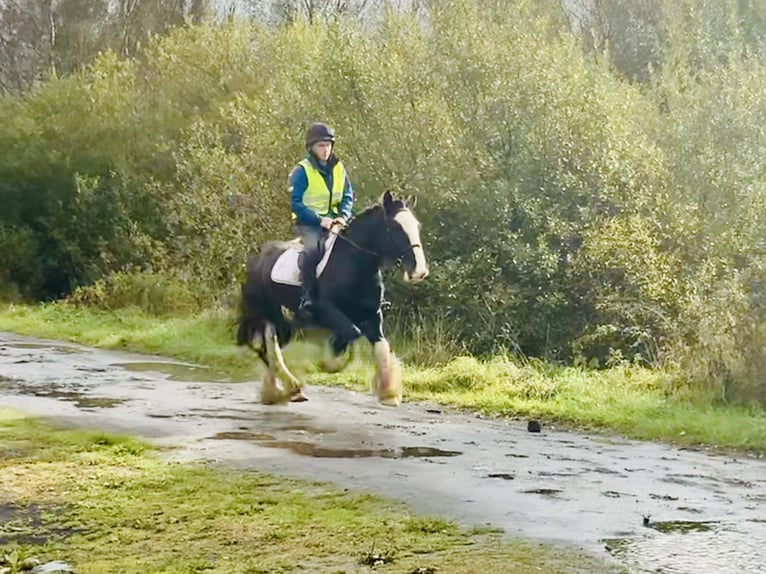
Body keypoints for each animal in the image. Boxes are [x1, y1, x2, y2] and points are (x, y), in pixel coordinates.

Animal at [237, 191, 428, 408]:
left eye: (417, 226)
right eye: (395, 228)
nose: (420, 272)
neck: (355, 264)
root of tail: (256, 259)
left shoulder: (372, 316)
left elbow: (382, 348)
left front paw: (389, 393)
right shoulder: (327, 311)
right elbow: (351, 332)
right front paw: (330, 363)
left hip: (282, 321)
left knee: (270, 348)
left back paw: (282, 390)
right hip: (266, 314)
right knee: (268, 350)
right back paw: (284, 389)